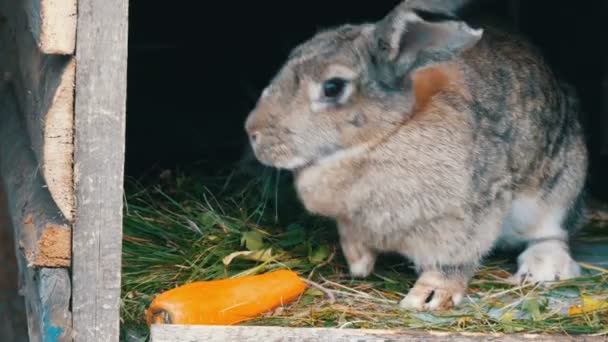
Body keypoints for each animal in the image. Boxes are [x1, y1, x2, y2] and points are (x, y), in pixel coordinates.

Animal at [243, 0, 588, 310]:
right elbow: (352, 239)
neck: (385, 135)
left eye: (332, 87)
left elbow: (452, 261)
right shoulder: (351, 221)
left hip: (559, 187)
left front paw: (430, 295)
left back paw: (541, 268)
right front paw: (359, 265)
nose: (253, 132)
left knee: (552, 233)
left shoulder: (473, 213)